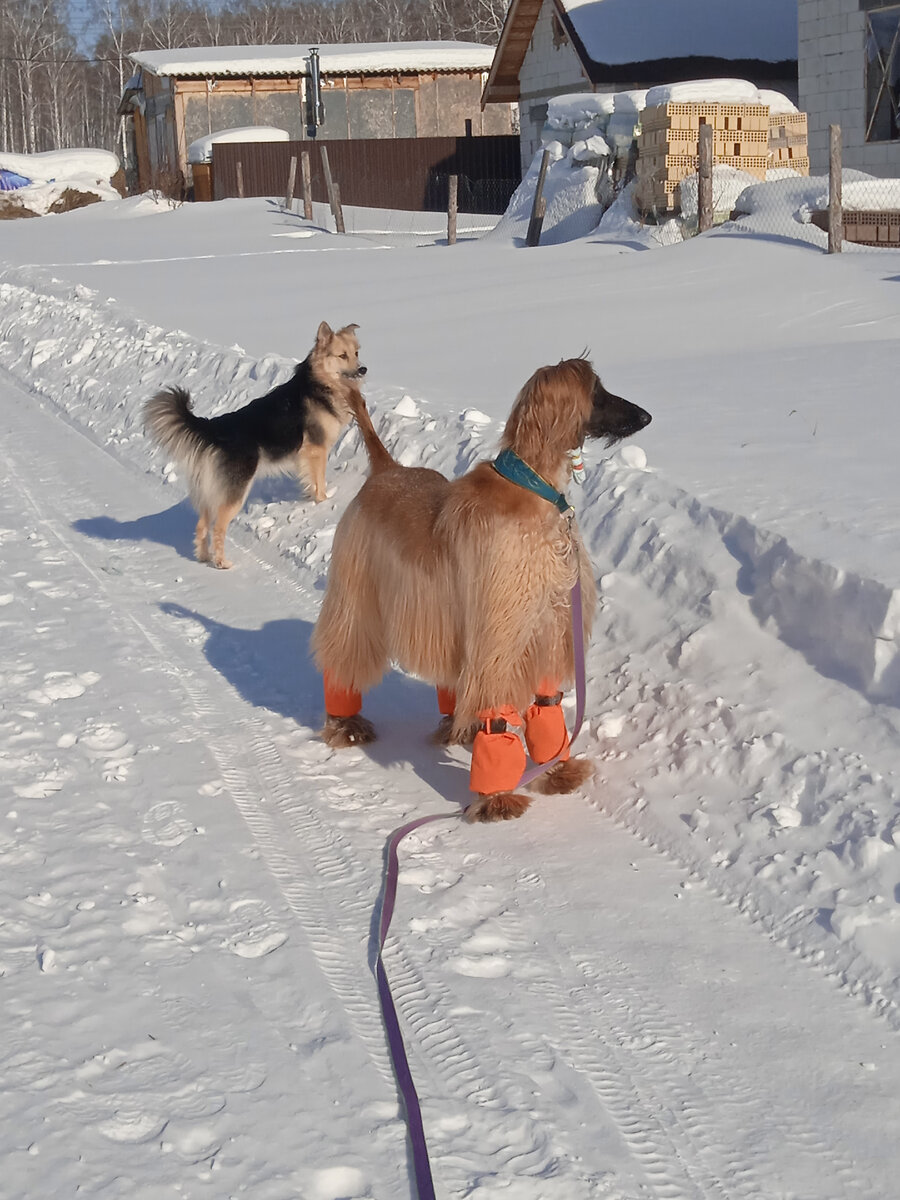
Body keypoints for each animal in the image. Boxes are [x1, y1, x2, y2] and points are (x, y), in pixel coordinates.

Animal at [144, 321, 367, 568]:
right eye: (342, 355)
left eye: (356, 353)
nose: (363, 370)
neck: (319, 383)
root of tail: (215, 428)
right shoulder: (316, 450)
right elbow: (319, 482)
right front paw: (323, 502)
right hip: (235, 492)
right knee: (218, 527)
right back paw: (221, 562)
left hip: (211, 491)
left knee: (202, 525)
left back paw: (203, 557)